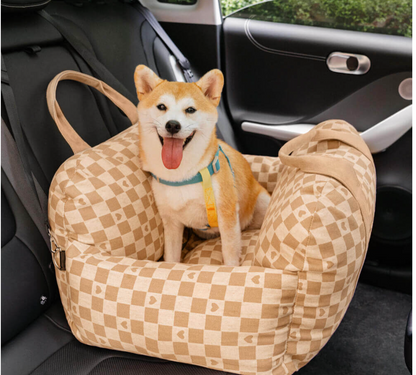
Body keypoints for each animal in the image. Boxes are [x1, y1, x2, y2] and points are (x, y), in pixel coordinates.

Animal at [133, 65, 270, 268]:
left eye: (190, 109)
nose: (172, 125)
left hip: (261, 203)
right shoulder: (171, 222)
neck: (182, 177)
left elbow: (230, 255)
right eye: (161, 107)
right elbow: (171, 257)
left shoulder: (227, 216)